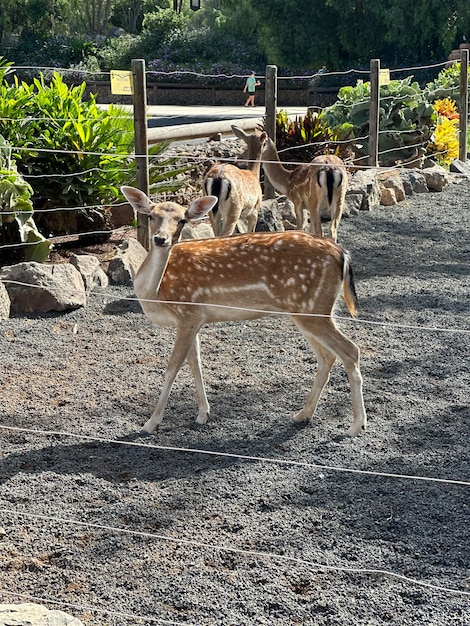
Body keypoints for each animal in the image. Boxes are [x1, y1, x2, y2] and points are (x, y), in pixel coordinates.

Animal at [120, 183, 368, 436]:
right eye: (151, 216)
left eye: (182, 220)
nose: (160, 239)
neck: (155, 293)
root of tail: (343, 254)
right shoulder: (194, 318)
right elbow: (195, 363)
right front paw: (203, 414)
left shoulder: (188, 313)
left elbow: (172, 367)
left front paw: (150, 424)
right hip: (308, 310)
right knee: (328, 356)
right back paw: (303, 414)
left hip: (313, 307)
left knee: (350, 350)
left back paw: (356, 425)